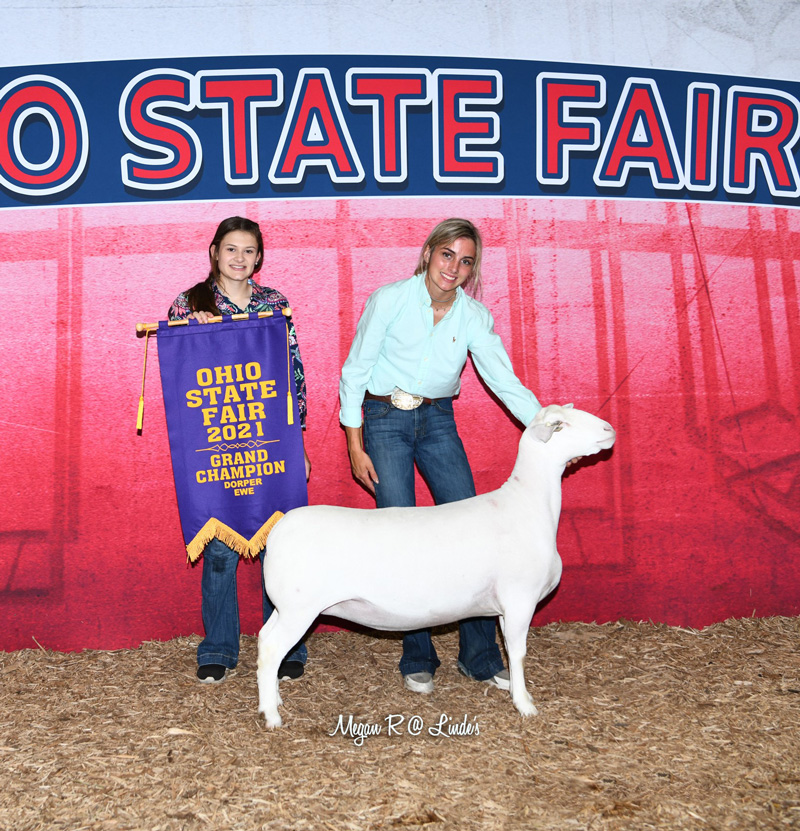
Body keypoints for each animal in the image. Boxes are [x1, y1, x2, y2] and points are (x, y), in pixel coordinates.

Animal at [260, 404, 616, 728]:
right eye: (560, 425)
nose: (609, 430)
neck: (527, 504)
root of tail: (278, 529)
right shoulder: (520, 599)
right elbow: (518, 652)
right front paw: (525, 705)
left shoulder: (504, 607)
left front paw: (516, 691)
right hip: (300, 607)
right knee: (273, 649)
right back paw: (272, 717)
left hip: (285, 606)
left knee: (265, 640)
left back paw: (272, 700)